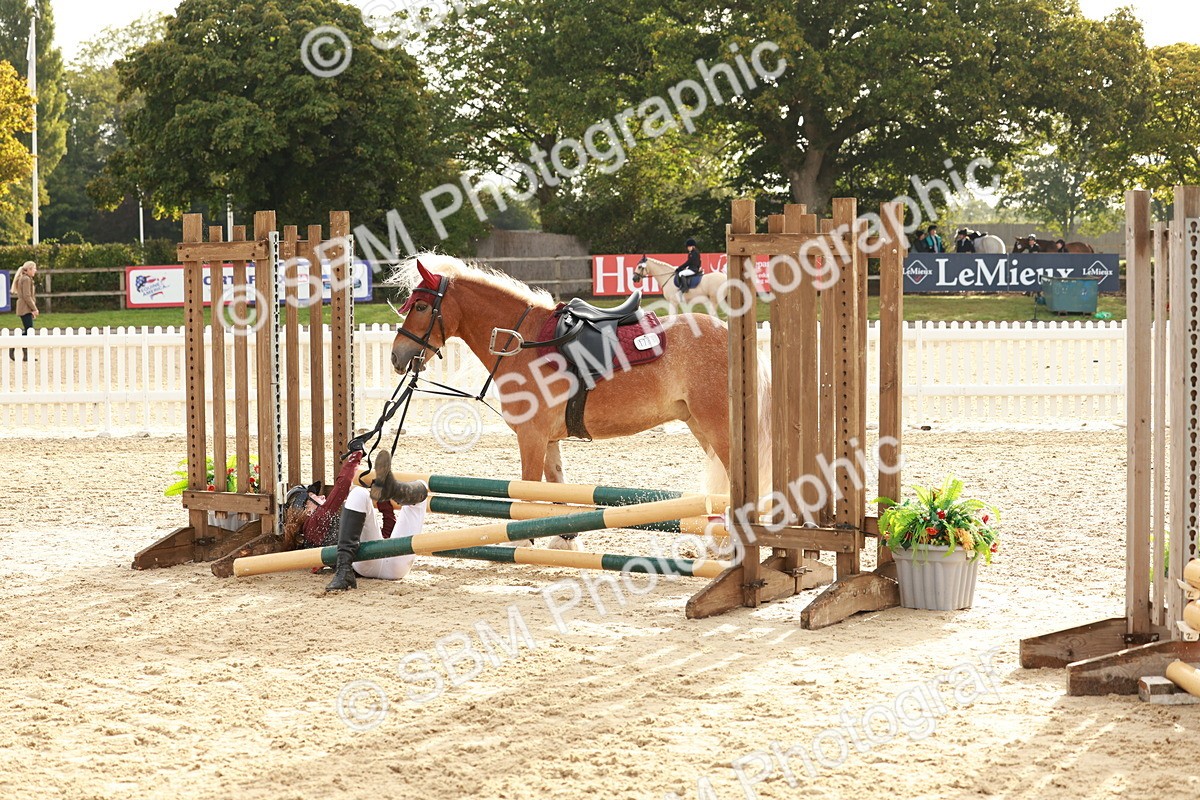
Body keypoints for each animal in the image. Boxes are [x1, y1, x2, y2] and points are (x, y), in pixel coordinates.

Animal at [389, 254, 771, 550]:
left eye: (421, 306)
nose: (397, 356)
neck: (522, 342)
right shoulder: (548, 441)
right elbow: (555, 495)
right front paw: (565, 539)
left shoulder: (531, 438)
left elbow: (525, 495)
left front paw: (524, 543)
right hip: (700, 426)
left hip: (719, 430)